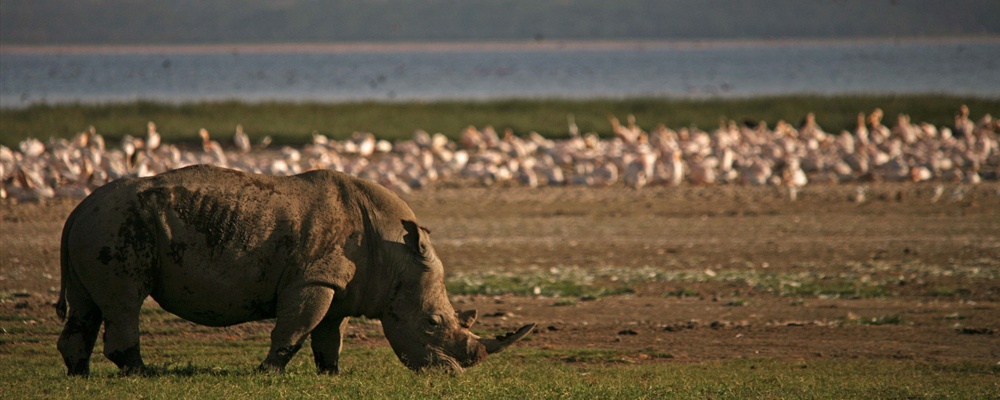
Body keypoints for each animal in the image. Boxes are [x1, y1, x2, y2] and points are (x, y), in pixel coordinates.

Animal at [56, 164, 534, 376]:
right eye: (432, 322)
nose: (456, 372)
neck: (394, 253)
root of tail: (77, 208)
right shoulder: (313, 278)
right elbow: (296, 327)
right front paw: (268, 373)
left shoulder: (339, 285)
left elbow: (328, 334)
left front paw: (332, 375)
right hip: (115, 223)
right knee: (125, 301)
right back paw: (143, 374)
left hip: (97, 225)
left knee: (87, 305)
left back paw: (80, 375)